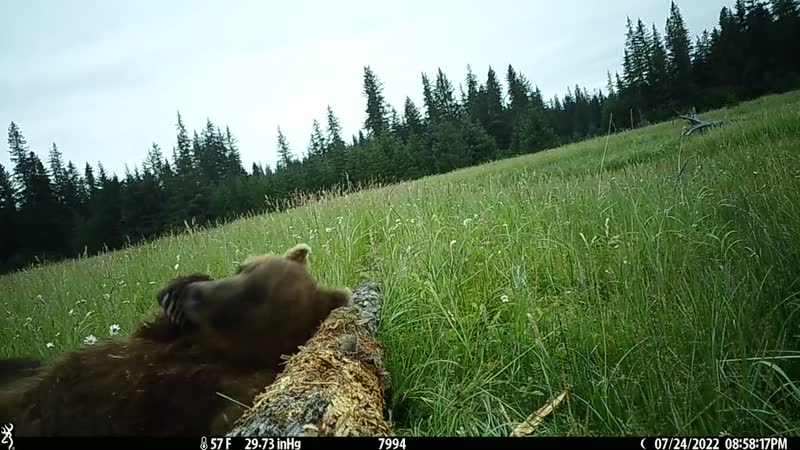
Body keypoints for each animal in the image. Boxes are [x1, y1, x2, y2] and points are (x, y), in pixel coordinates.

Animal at [0, 243, 352, 436]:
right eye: (240, 267)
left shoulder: (228, 392)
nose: (192, 294)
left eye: (253, 298)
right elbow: (147, 332)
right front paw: (176, 289)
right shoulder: (157, 344)